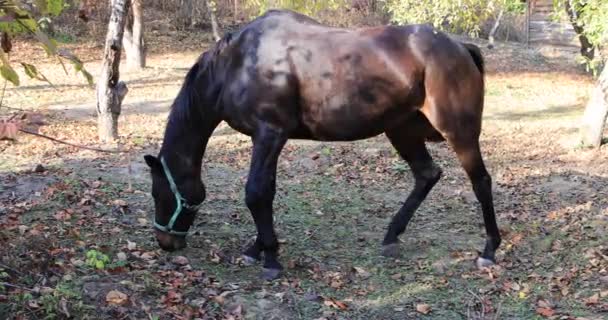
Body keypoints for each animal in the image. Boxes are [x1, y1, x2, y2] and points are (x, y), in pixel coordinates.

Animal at [145, 9, 502, 280]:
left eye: (157, 193)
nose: (165, 242)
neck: (240, 62)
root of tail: (461, 47)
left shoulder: (269, 134)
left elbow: (256, 192)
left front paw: (270, 258)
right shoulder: (270, 140)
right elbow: (266, 191)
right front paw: (257, 248)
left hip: (459, 133)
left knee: (481, 182)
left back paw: (489, 249)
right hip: (402, 131)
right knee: (427, 175)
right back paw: (391, 236)